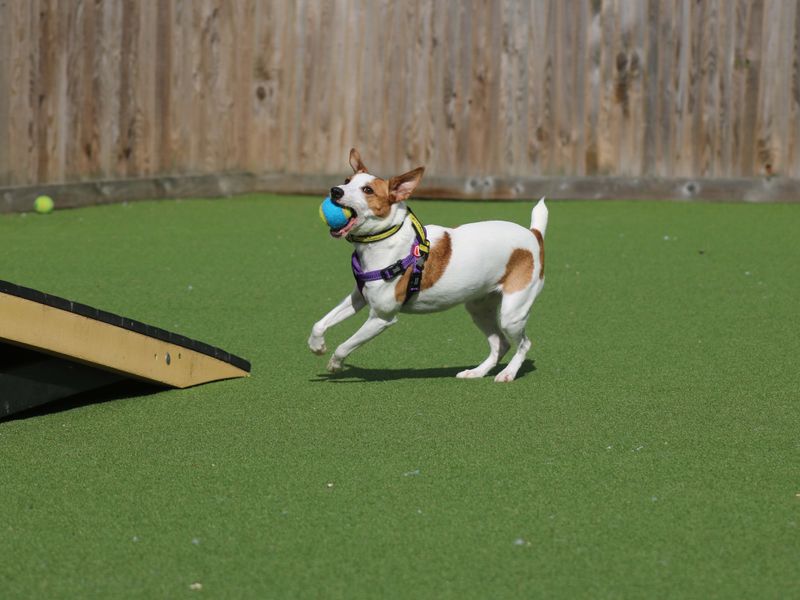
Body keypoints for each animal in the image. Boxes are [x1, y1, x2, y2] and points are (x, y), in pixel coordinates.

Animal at [308, 150, 552, 384]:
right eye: (346, 180)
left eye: (367, 189)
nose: (335, 191)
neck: (384, 238)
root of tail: (533, 234)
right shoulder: (358, 298)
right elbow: (319, 324)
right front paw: (316, 345)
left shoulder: (381, 318)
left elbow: (345, 345)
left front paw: (335, 364)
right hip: (479, 309)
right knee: (501, 343)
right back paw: (477, 372)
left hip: (512, 314)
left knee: (524, 344)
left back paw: (508, 373)